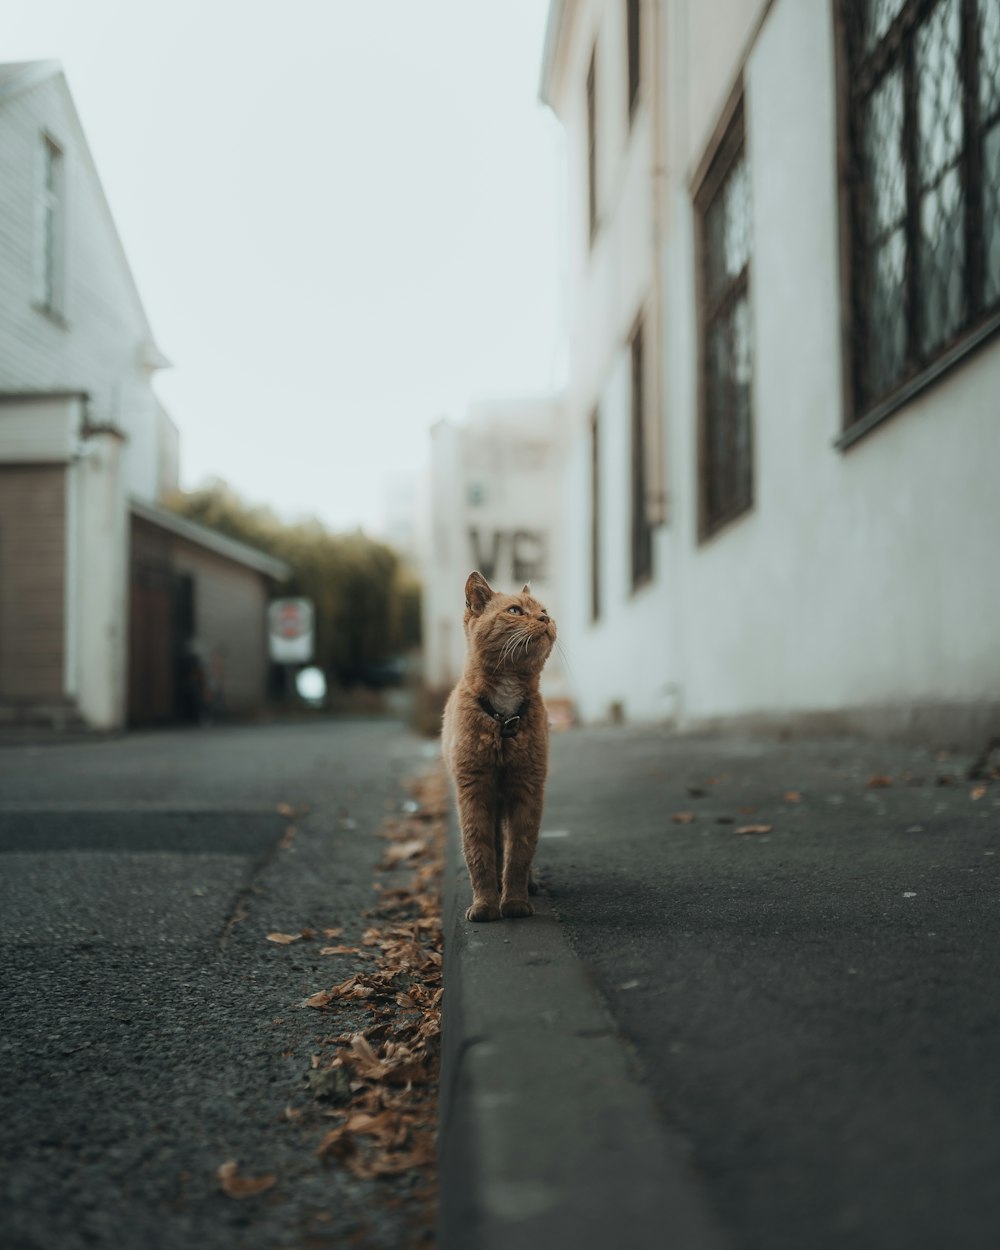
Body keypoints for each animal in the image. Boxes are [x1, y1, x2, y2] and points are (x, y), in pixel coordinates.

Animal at [442, 572, 557, 925]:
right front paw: (485, 905)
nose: (545, 619)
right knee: (494, 842)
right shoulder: (474, 791)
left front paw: (515, 902)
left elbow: (520, 850)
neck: (505, 717)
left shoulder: (528, 789)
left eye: (544, 610)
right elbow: (478, 850)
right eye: (516, 611)